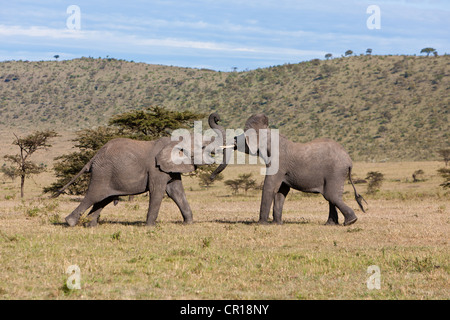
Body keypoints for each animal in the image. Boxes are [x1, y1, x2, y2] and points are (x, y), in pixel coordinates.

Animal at [53, 114, 222, 226]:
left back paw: (90, 225)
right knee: (94, 196)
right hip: (103, 173)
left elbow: (176, 192)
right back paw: (70, 222)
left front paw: (188, 224)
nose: (218, 117)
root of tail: (93, 158)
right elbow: (158, 192)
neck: (173, 141)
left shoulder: (170, 169)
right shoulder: (156, 170)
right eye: (203, 147)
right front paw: (150, 226)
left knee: (103, 199)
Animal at [209, 114, 368, 226]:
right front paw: (277, 224)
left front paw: (262, 224)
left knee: (331, 196)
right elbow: (281, 191)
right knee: (331, 197)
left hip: (335, 172)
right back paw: (331, 224)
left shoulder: (278, 162)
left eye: (242, 137)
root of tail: (349, 161)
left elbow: (270, 187)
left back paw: (350, 222)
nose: (211, 177)